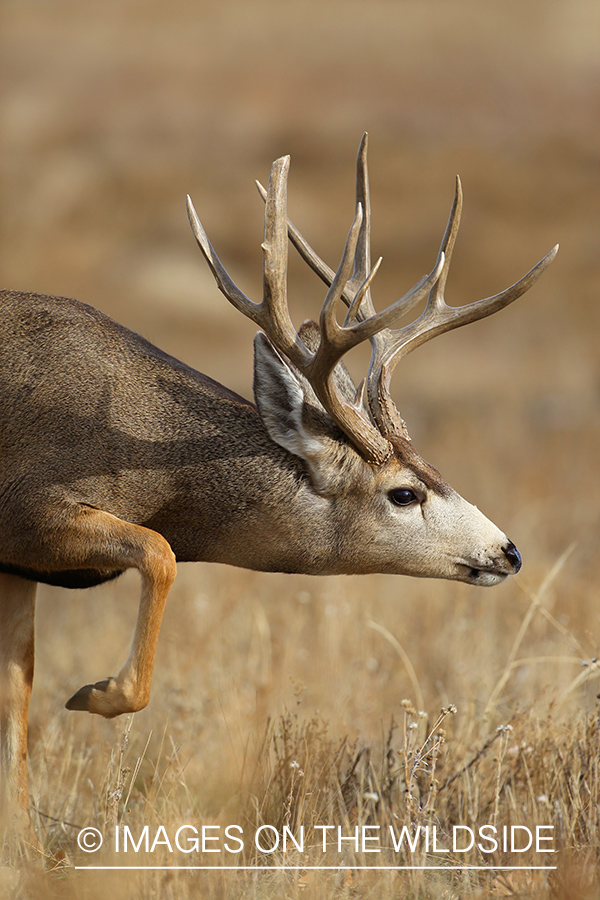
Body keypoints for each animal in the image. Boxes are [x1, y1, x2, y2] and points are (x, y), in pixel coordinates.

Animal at [0, 135, 557, 829]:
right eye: (404, 492)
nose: (508, 551)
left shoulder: (17, 565)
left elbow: (15, 699)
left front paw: (22, 837)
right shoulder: (29, 509)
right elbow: (159, 552)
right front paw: (96, 693)